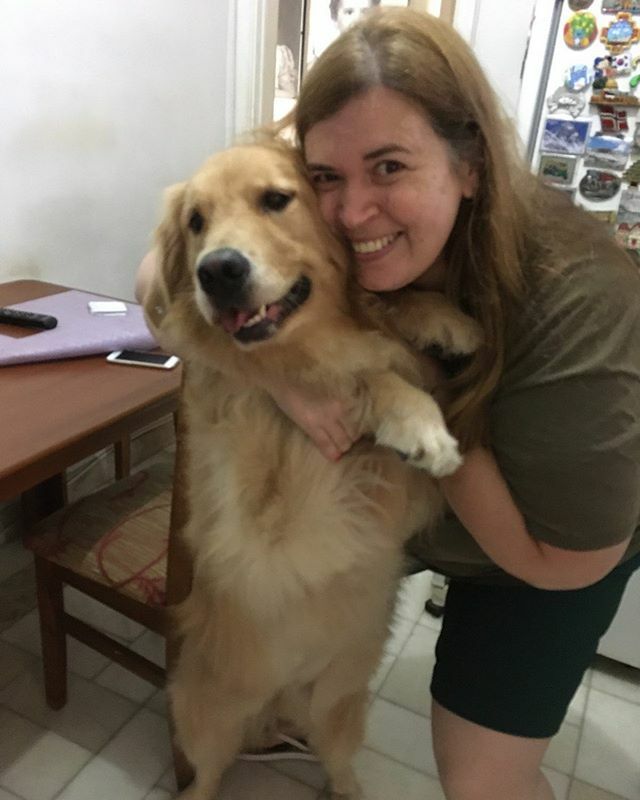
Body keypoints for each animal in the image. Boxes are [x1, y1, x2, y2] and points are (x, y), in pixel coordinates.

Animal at [144, 138, 480, 800]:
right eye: (196, 222)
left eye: (277, 200)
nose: (217, 272)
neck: (301, 343)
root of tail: (278, 706)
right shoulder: (275, 527)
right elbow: (360, 375)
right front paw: (418, 421)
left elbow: (387, 317)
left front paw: (442, 319)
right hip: (202, 709)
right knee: (207, 771)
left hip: (340, 707)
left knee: (336, 758)